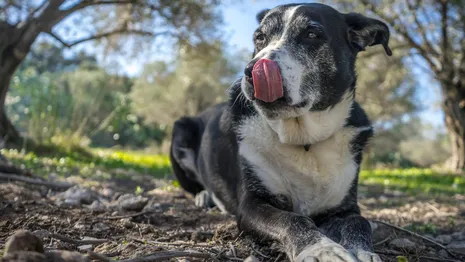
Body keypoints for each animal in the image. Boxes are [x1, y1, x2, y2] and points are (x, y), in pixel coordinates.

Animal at [169, 2, 390, 262]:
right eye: (259, 37)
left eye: (312, 34)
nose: (250, 71)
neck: (303, 140)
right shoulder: (252, 204)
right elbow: (293, 220)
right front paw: (321, 249)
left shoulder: (345, 207)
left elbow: (360, 222)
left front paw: (363, 251)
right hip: (180, 132)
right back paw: (204, 196)